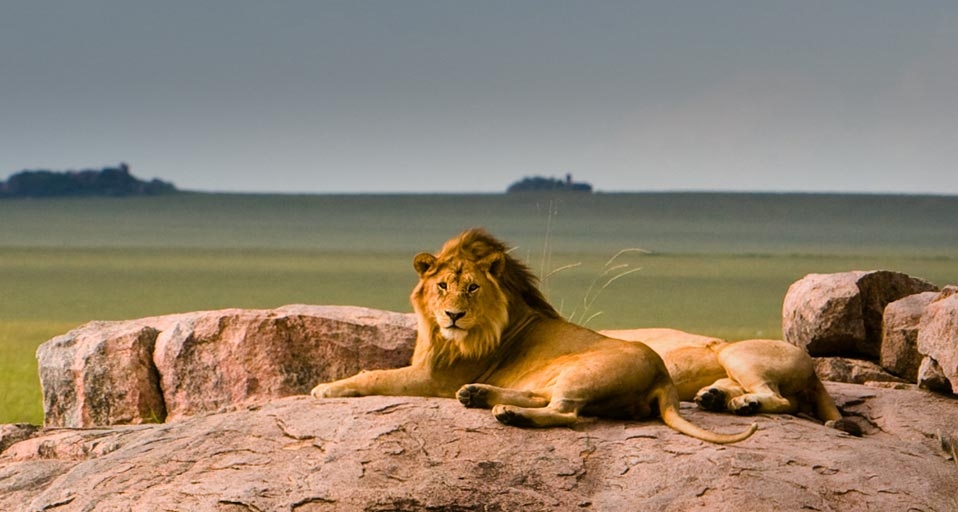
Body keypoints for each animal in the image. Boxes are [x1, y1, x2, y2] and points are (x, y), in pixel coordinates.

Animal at [311, 228, 756, 444]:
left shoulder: (432, 378)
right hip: (562, 373)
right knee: (544, 397)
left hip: (584, 371)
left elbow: (374, 374)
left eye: (472, 288)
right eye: (442, 286)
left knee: (565, 412)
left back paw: (509, 414)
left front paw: (325, 388)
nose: (454, 315)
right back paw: (479, 395)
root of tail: (664, 378)